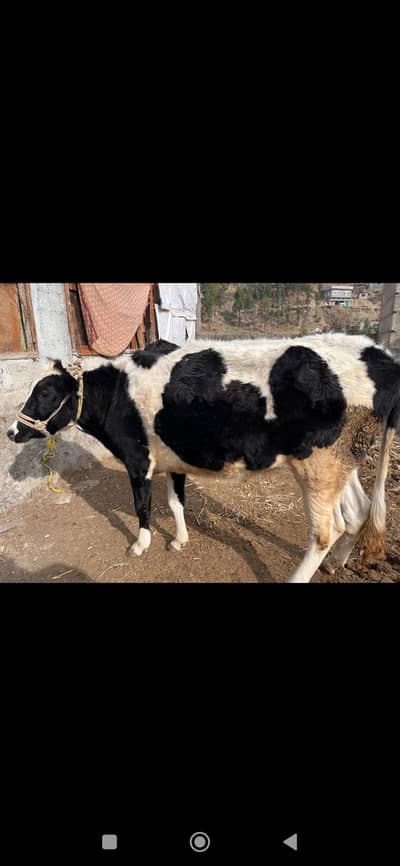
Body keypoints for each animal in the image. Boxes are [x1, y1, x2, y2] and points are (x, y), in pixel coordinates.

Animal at [7, 334, 400, 583]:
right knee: (358, 512)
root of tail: (378, 353)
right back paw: (335, 565)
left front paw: (140, 545)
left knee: (325, 531)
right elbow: (175, 502)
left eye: (45, 392)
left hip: (319, 464)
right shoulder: (173, 461)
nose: (11, 431)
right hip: (342, 459)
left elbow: (143, 506)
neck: (117, 394)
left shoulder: (138, 460)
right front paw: (179, 540)